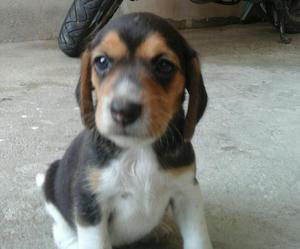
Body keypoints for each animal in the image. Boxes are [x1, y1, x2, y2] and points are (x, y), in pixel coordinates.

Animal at [37, 12, 211, 249]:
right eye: (102, 61)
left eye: (164, 65)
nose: (123, 110)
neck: (138, 149)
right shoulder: (91, 203)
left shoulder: (187, 192)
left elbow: (198, 238)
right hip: (52, 181)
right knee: (60, 226)